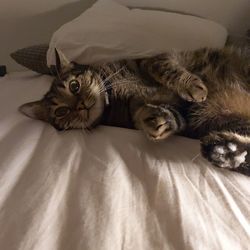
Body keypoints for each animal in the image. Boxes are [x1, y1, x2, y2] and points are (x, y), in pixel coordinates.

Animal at [19, 47, 250, 176]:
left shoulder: (152, 60)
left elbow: (166, 69)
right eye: (61, 112)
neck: (114, 95)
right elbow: (164, 114)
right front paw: (153, 121)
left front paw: (194, 87)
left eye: (74, 86)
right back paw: (227, 151)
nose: (80, 106)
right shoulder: (176, 113)